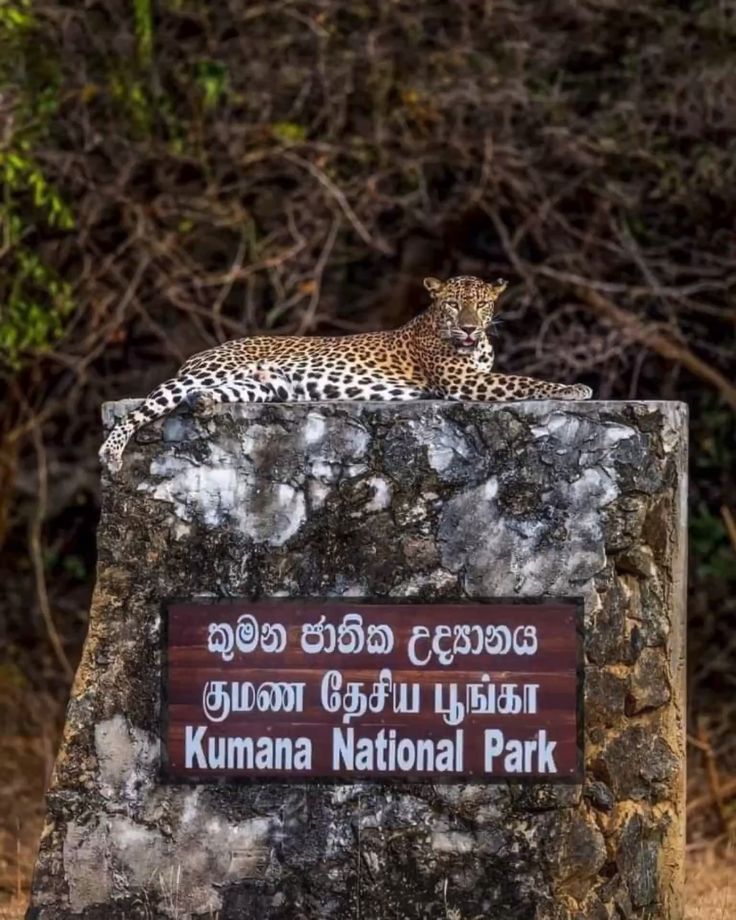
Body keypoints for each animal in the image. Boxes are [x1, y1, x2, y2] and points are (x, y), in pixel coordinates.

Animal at [99, 275, 592, 473]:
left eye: (483, 304)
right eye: (454, 304)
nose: (470, 326)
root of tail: (206, 350)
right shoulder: (463, 382)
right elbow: (523, 380)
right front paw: (575, 388)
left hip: (263, 385)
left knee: (209, 396)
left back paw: (203, 405)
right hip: (205, 372)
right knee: (142, 408)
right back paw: (112, 451)